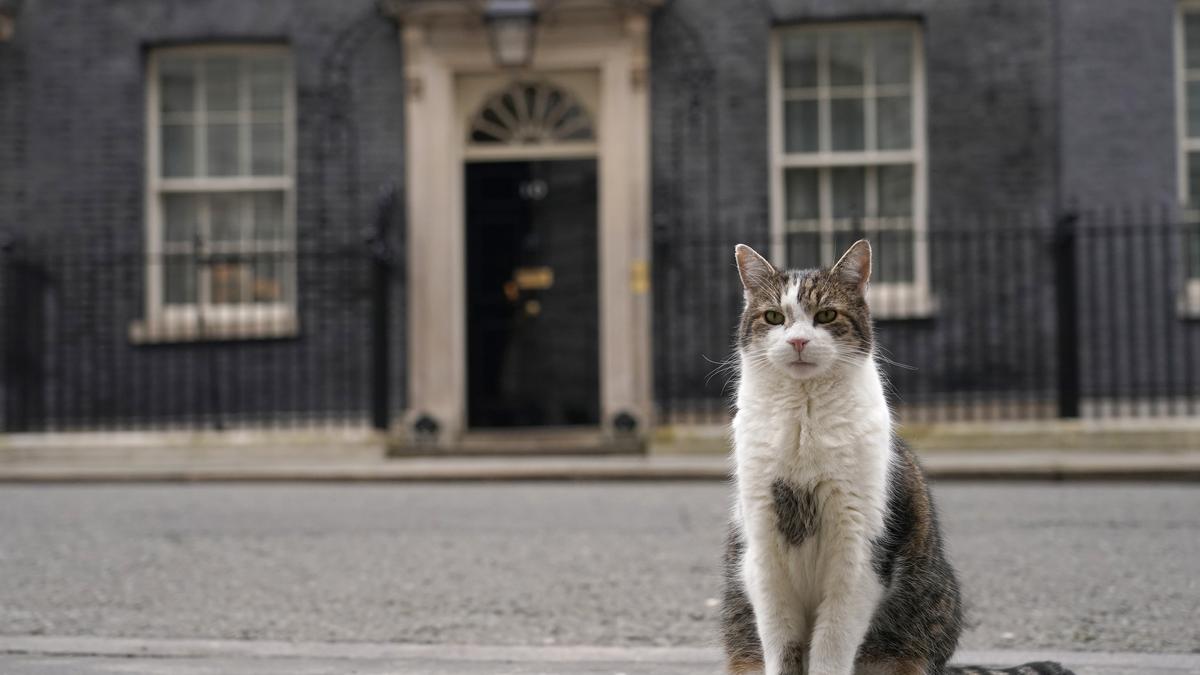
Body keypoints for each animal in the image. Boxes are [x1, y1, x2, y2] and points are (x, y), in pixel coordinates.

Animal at [715, 240, 1075, 672]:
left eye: (826, 315)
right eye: (774, 317)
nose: (798, 341)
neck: (804, 423)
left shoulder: (859, 555)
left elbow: (831, 647)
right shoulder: (764, 553)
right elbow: (781, 646)